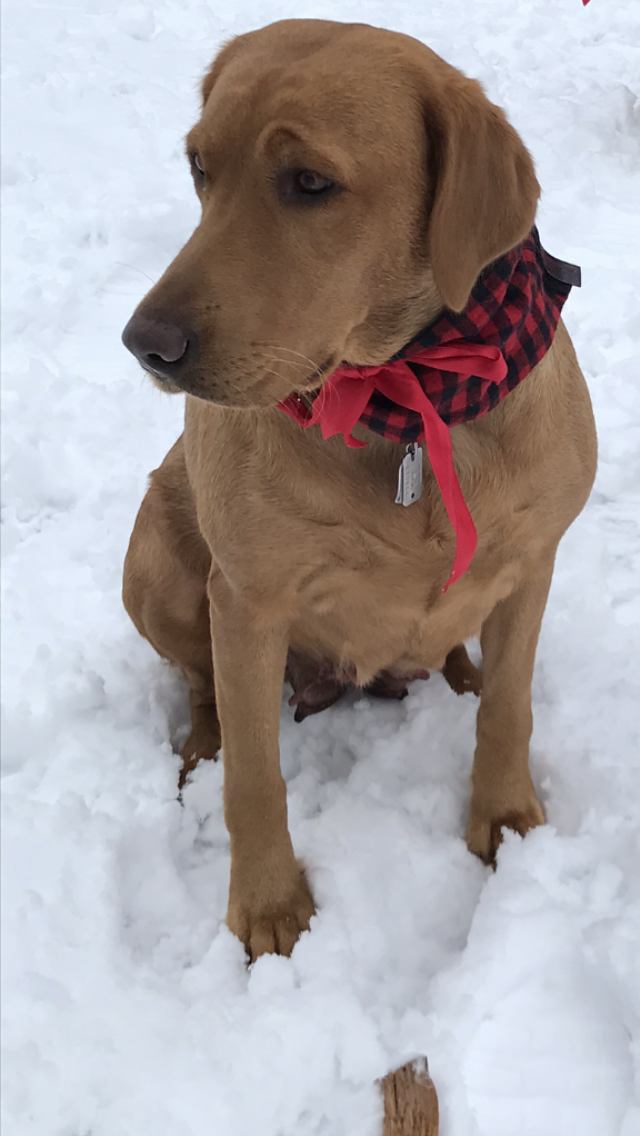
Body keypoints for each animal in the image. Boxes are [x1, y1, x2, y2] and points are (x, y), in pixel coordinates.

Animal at [121, 20, 600, 958]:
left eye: (310, 183)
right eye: (199, 167)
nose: (145, 343)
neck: (407, 396)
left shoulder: (534, 558)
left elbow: (511, 707)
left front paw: (507, 819)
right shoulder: (248, 601)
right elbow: (255, 778)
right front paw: (268, 904)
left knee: (463, 664)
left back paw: (459, 672)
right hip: (154, 561)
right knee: (200, 689)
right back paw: (198, 748)